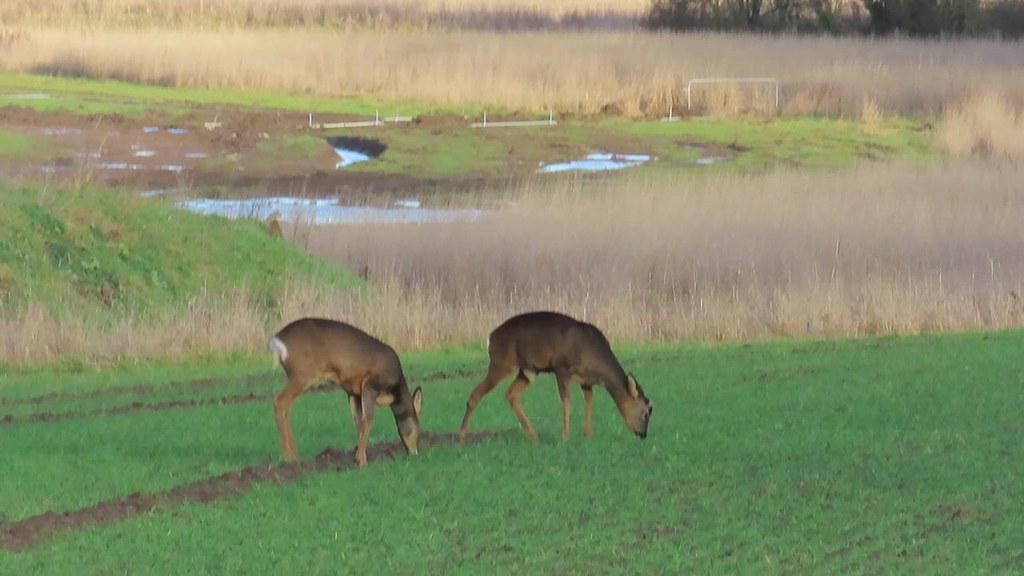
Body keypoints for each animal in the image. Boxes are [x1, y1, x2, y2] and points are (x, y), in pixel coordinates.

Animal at [269, 317, 423, 467]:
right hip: (303, 373)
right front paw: (362, 461)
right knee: (279, 400)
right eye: (417, 428)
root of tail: (277, 339)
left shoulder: (354, 393)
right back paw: (290, 456)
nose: (414, 452)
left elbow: (358, 422)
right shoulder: (370, 385)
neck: (396, 390)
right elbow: (368, 420)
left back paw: (293, 455)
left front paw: (357, 457)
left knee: (284, 405)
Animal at [458, 311, 652, 442]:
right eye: (645, 412)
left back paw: (533, 436)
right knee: (476, 393)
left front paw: (588, 435)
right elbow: (566, 400)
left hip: (529, 370)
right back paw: (461, 436)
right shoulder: (561, 368)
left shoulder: (585, 380)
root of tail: (490, 337)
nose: (643, 434)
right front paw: (565, 436)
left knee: (511, 395)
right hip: (503, 363)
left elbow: (589, 399)